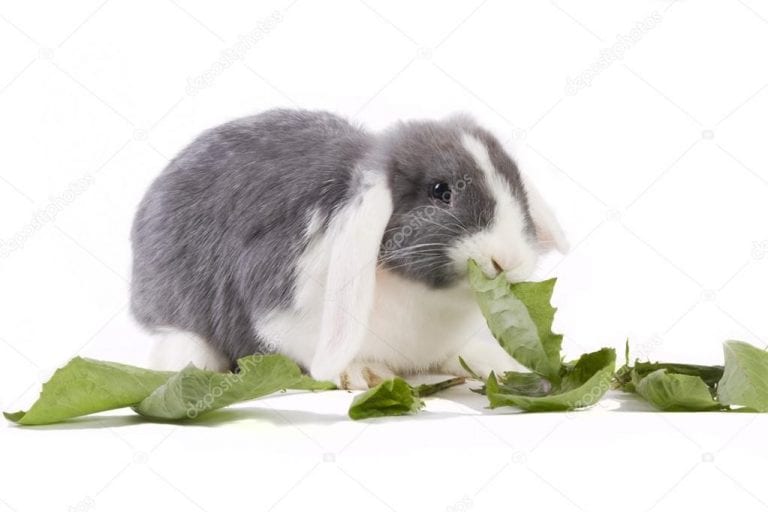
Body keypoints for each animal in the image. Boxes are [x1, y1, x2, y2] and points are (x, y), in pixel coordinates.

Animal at [130, 109, 568, 389]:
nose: (509, 260)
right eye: (441, 191)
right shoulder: (282, 313)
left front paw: (497, 363)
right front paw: (364, 374)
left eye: (516, 185)